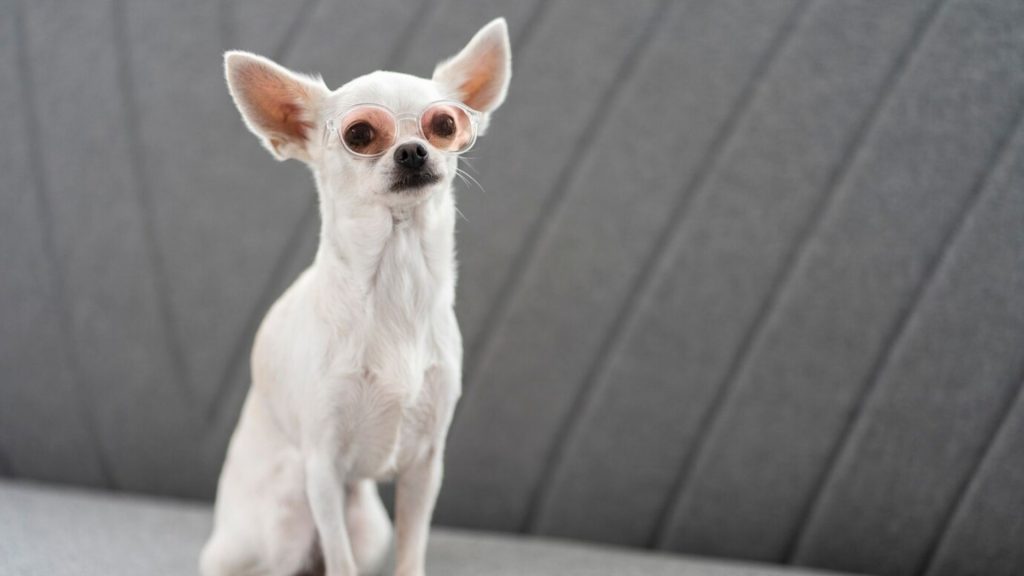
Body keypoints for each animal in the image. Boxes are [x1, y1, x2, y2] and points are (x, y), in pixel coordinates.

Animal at [201, 19, 512, 573]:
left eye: (444, 125)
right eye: (360, 135)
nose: (412, 150)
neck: (395, 279)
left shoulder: (424, 467)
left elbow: (411, 551)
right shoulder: (323, 469)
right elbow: (340, 562)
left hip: (368, 525)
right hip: (287, 506)